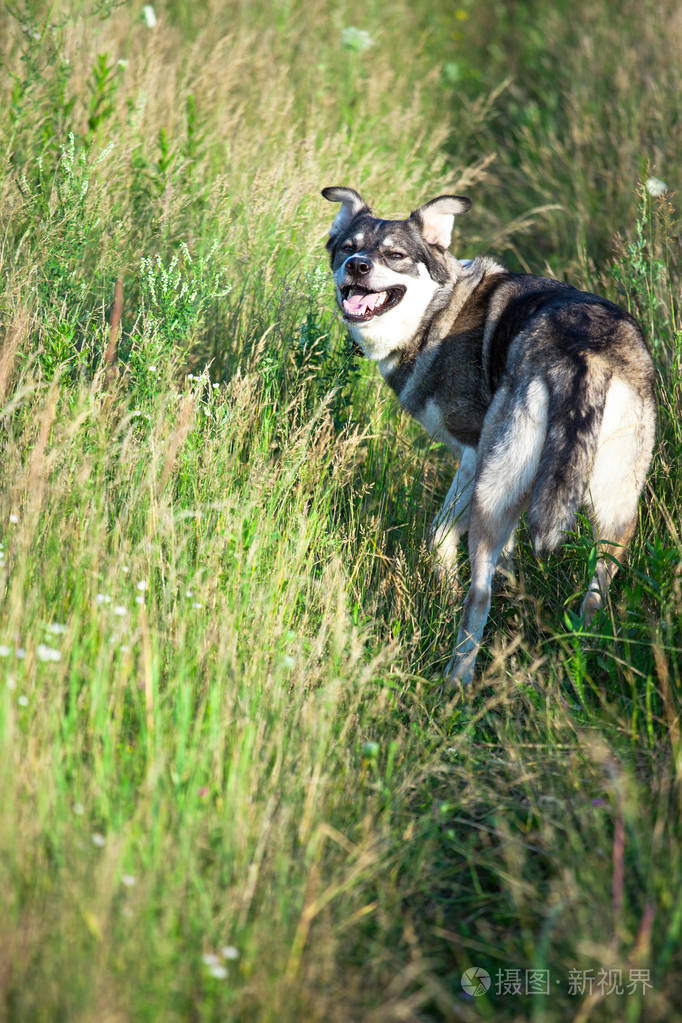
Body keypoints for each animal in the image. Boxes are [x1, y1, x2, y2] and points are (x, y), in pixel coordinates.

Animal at [323, 188, 658, 691]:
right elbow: (504, 556)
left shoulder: (472, 451)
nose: (357, 267)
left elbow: (439, 535)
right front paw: (513, 596)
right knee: (597, 590)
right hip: (614, 513)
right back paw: (584, 653)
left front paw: (444, 593)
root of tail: (583, 354)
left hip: (493, 494)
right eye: (348, 248)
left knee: (477, 595)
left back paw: (456, 679)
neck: (437, 310)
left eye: (395, 256)